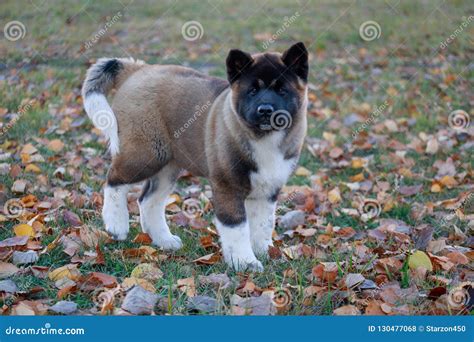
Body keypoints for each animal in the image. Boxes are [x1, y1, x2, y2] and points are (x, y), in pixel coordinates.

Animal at [82, 42, 308, 272]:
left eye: (282, 90)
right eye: (253, 91)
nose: (265, 110)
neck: (263, 137)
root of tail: (138, 69)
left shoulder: (268, 190)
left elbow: (263, 224)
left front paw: (265, 252)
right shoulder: (228, 186)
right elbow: (237, 227)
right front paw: (245, 262)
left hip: (167, 165)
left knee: (149, 200)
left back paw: (164, 240)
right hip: (145, 154)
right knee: (114, 180)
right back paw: (116, 224)